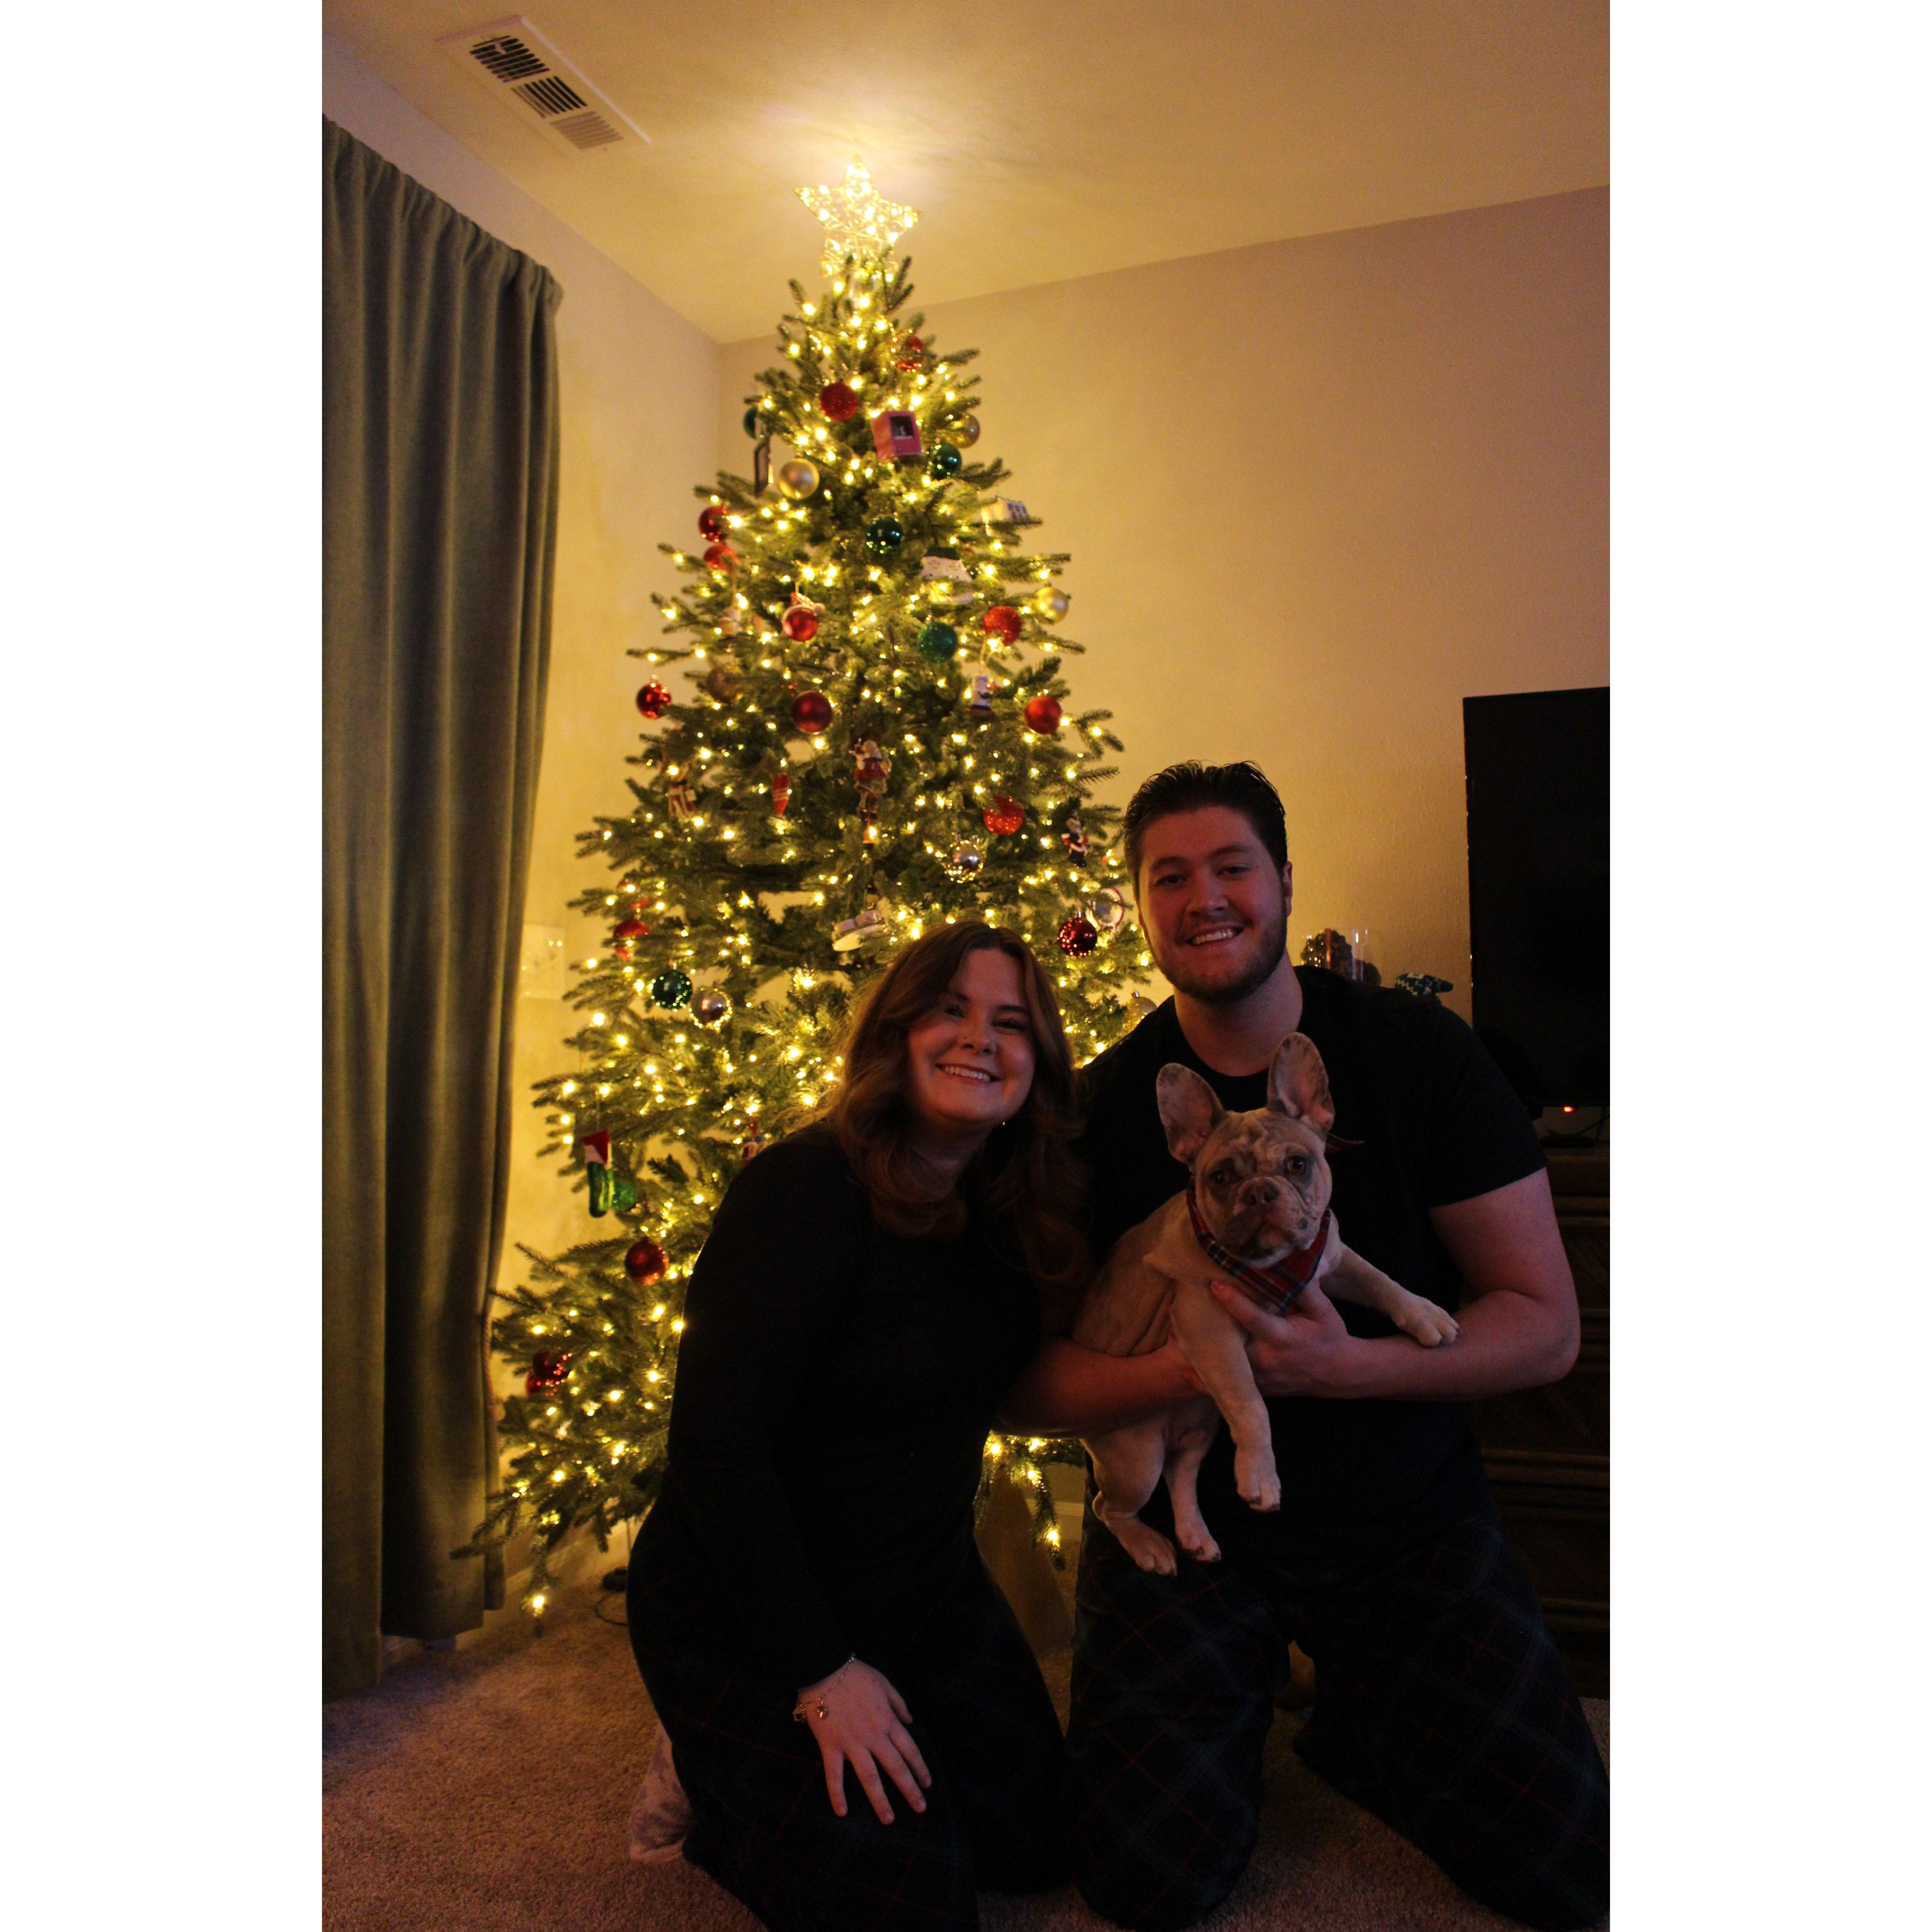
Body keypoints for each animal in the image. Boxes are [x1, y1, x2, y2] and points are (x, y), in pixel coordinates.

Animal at [1071, 1032, 1460, 1574]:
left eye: (1298, 1165)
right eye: (1219, 1179)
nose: (1259, 1193)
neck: (1275, 1268)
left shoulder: (1333, 1256)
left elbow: (1380, 1280)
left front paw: (1424, 1313)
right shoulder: (1209, 1329)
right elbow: (1252, 1405)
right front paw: (1261, 1477)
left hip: (1201, 1429)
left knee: (1181, 1475)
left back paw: (1195, 1535)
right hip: (1137, 1458)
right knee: (1111, 1505)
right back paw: (1149, 1545)